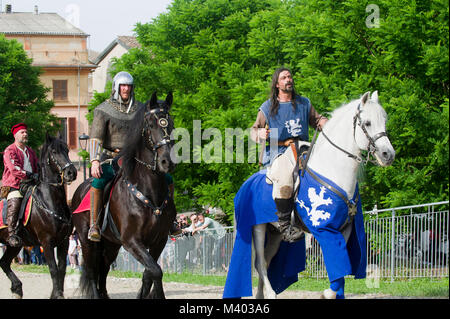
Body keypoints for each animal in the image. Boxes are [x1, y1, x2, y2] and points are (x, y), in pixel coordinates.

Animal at [0, 134, 77, 298]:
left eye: (67, 150)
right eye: (54, 151)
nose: (71, 172)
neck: (50, 201)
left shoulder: (64, 242)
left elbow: (61, 269)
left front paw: (56, 293)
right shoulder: (46, 242)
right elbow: (53, 269)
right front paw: (57, 294)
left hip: (15, 245)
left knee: (4, 263)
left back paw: (17, 289)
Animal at [71, 92, 176, 300]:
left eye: (170, 124)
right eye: (150, 125)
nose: (166, 162)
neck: (148, 190)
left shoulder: (159, 240)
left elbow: (150, 273)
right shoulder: (132, 241)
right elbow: (156, 271)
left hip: (111, 244)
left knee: (103, 269)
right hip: (87, 242)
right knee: (92, 271)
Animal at [223, 90, 396, 300]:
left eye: (384, 121)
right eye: (368, 123)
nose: (388, 154)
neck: (332, 169)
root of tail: (245, 186)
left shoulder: (344, 230)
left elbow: (342, 265)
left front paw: (336, 293)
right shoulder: (324, 229)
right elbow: (339, 264)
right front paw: (328, 294)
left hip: (275, 233)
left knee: (267, 259)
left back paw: (260, 296)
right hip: (258, 227)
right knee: (260, 263)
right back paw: (271, 294)